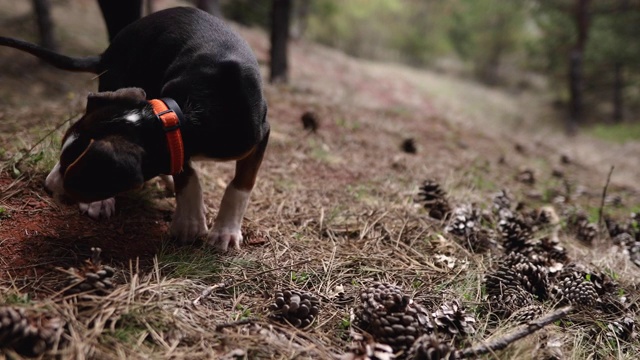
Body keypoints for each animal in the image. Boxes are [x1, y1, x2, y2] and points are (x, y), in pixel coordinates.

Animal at [0, 7, 270, 250]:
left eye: (72, 164)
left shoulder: (260, 133)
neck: (195, 108)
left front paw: (225, 231)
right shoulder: (177, 140)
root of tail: (107, 53)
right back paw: (100, 203)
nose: (47, 185)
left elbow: (241, 184)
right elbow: (187, 173)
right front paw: (190, 222)